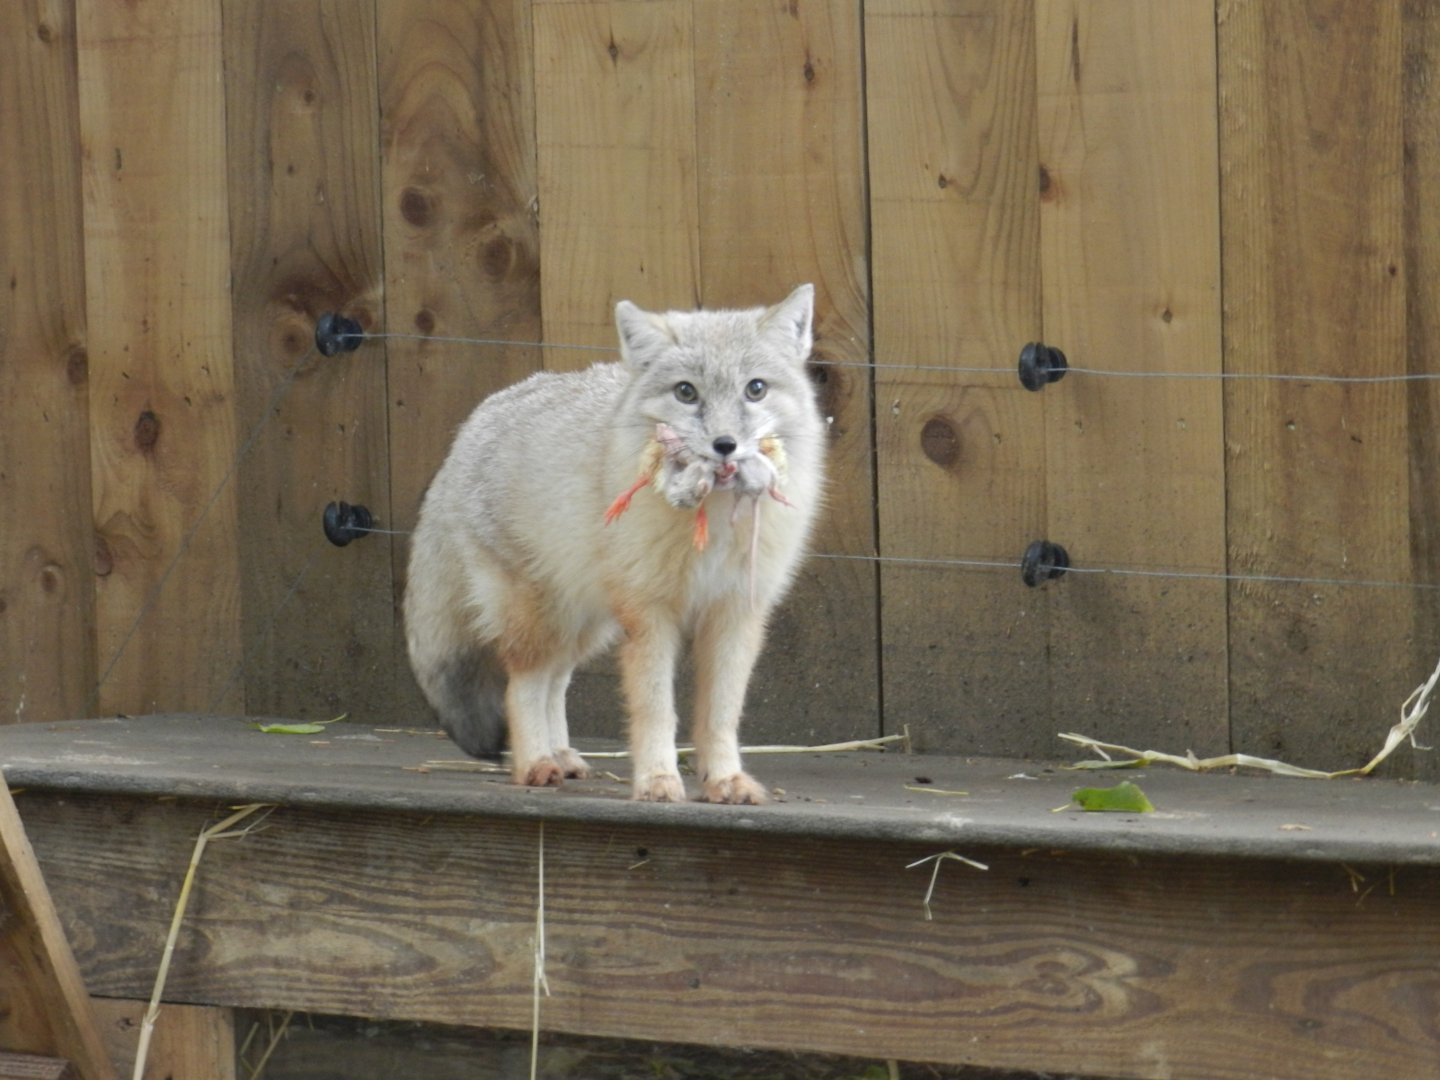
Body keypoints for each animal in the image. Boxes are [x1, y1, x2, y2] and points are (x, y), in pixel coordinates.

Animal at [403, 284, 825, 804]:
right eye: (686, 392)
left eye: (756, 388)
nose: (725, 445)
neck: (713, 528)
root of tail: (473, 423)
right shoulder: (649, 615)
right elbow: (655, 710)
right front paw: (658, 780)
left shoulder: (734, 613)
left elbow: (721, 715)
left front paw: (725, 779)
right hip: (543, 617)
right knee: (524, 685)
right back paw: (536, 762)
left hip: (585, 624)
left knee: (555, 682)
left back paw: (561, 755)